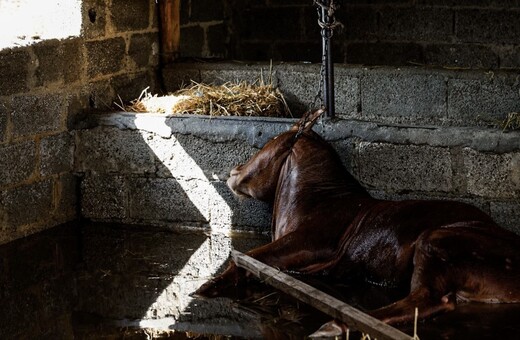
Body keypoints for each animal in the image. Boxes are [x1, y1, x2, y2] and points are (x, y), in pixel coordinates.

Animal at [195, 110, 520, 334]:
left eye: (271, 140)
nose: (234, 171)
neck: (313, 198)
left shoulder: (306, 243)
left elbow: (246, 257)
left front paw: (204, 288)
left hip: (436, 241)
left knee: (426, 299)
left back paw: (333, 327)